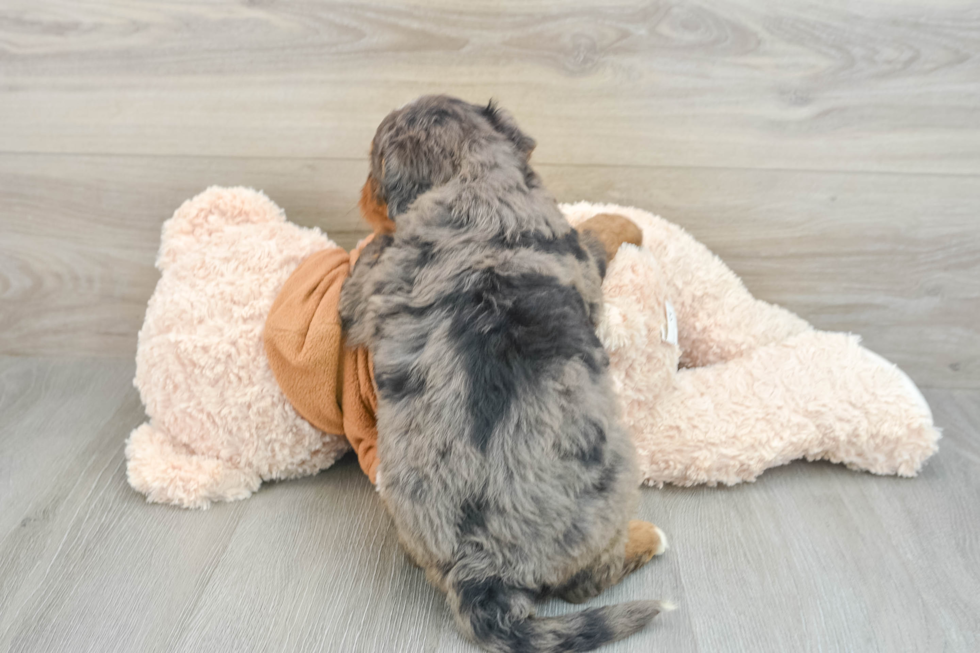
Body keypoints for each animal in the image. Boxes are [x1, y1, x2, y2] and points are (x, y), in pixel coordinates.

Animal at [340, 94, 668, 648]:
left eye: (371, 168)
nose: (359, 194)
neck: (470, 176)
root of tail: (481, 567)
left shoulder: (366, 292)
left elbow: (359, 282)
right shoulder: (578, 254)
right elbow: (598, 232)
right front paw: (631, 223)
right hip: (616, 481)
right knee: (586, 583)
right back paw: (647, 537)